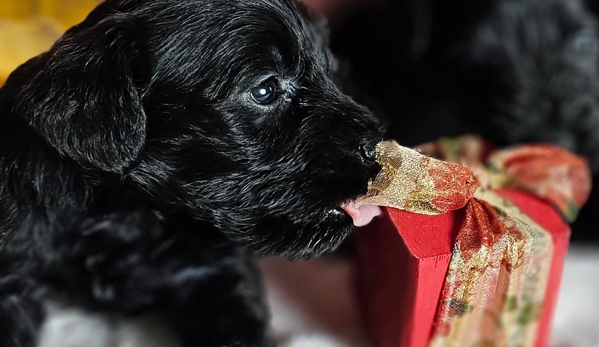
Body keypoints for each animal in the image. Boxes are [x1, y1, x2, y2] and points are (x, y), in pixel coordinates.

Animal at [0, 0, 384, 347]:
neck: (133, 213)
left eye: (329, 69)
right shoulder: (12, 283)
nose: (378, 145)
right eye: (265, 89)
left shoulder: (215, 270)